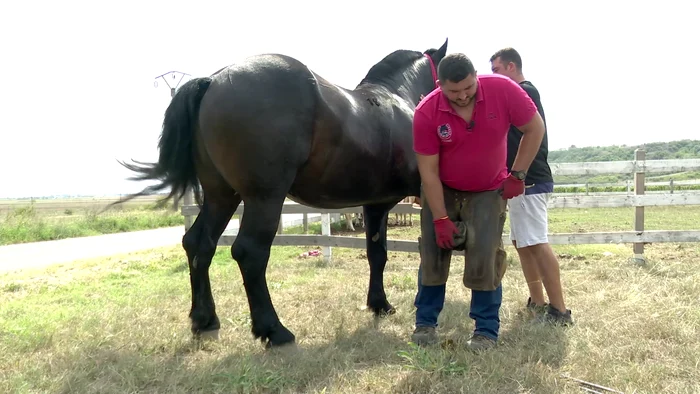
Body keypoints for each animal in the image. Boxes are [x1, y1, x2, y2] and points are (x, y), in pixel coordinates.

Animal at [112, 37, 446, 348]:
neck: (395, 101)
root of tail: (213, 81)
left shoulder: (376, 205)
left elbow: (378, 254)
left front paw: (380, 305)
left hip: (221, 196)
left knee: (198, 244)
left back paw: (205, 321)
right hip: (264, 199)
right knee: (249, 253)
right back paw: (274, 330)